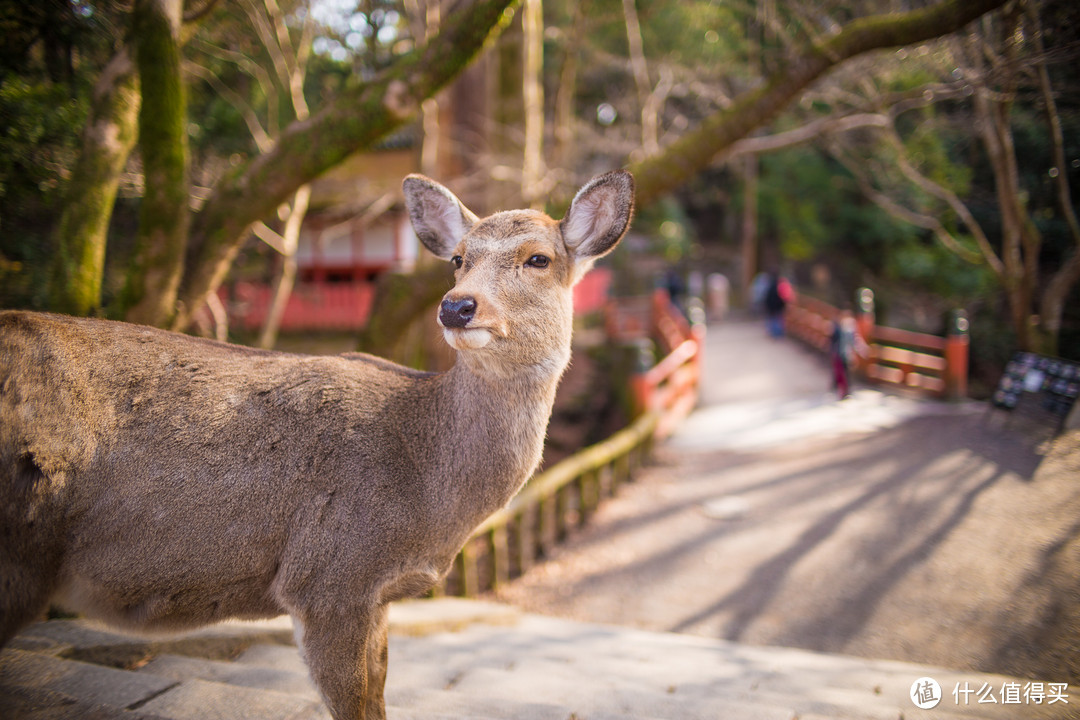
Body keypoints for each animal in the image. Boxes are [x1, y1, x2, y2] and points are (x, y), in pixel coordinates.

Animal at [0, 170, 635, 720]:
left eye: (539, 258)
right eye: (459, 259)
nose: (457, 306)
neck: (427, 489)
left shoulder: (375, 595)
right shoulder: (330, 576)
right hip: (20, 556)